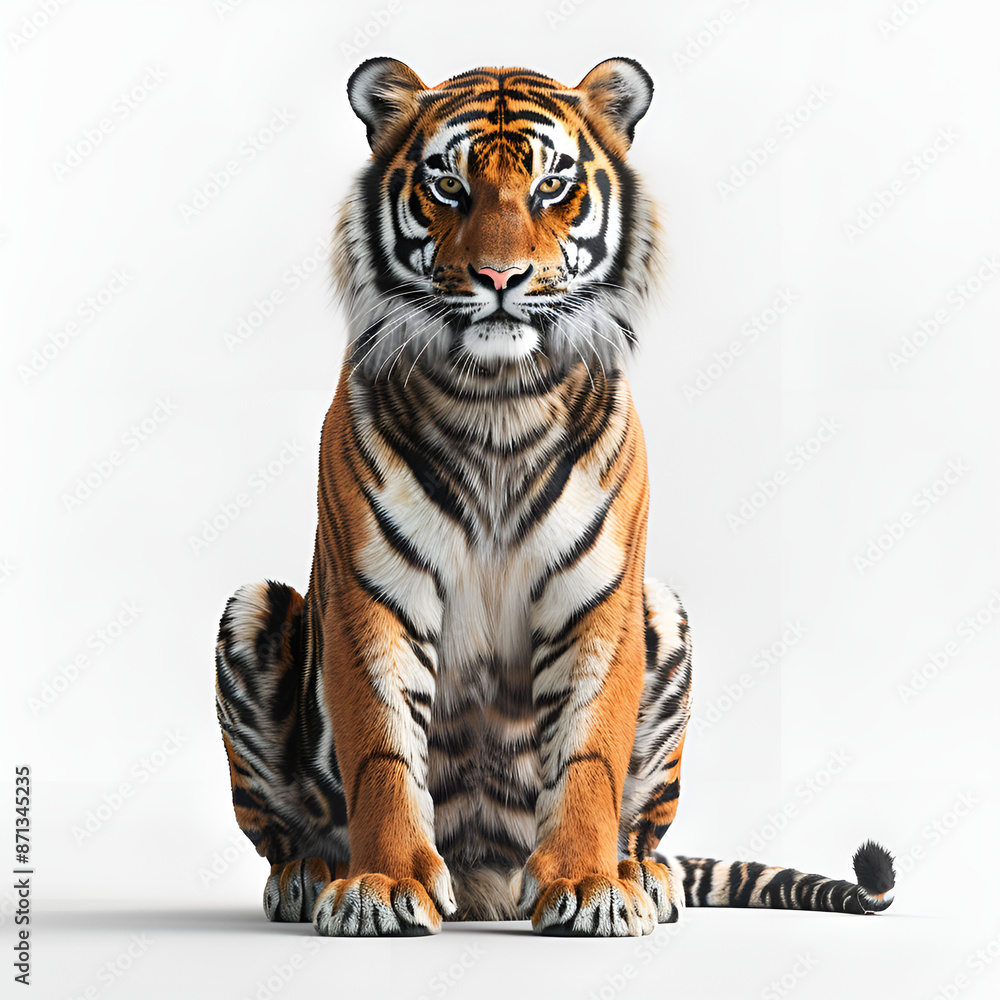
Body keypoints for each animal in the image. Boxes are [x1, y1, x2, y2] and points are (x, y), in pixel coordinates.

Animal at [214, 56, 896, 937]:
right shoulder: (374, 595)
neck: (496, 398)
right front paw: (384, 885)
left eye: (550, 188)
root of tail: (487, 888)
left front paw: (589, 885)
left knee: (645, 825)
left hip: (663, 612)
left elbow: (590, 754)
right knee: (280, 830)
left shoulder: (598, 598)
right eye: (448, 186)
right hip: (253, 607)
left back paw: (642, 875)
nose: (500, 277)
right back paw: (309, 874)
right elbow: (382, 751)